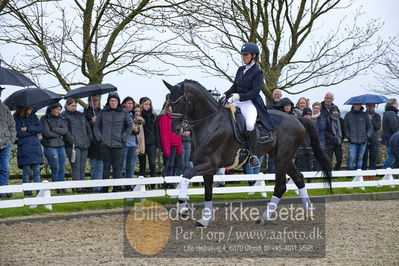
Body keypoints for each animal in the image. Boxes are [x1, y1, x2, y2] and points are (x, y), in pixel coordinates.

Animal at [162, 79, 332, 227]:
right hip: (281, 157)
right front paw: (204, 220)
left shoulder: (210, 164)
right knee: (299, 178)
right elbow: (207, 191)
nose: (175, 129)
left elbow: (186, 174)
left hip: (282, 158)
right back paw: (308, 212)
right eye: (170, 102)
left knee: (281, 186)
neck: (210, 122)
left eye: (181, 102)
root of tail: (297, 119)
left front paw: (183, 206)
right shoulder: (205, 166)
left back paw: (264, 217)